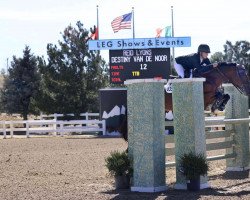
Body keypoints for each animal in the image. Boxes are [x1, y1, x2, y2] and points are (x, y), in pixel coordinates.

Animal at [120, 61, 249, 141]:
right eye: (243, 74)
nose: (247, 91)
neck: (210, 78)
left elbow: (225, 95)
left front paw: (220, 105)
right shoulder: (206, 97)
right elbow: (219, 95)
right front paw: (217, 106)